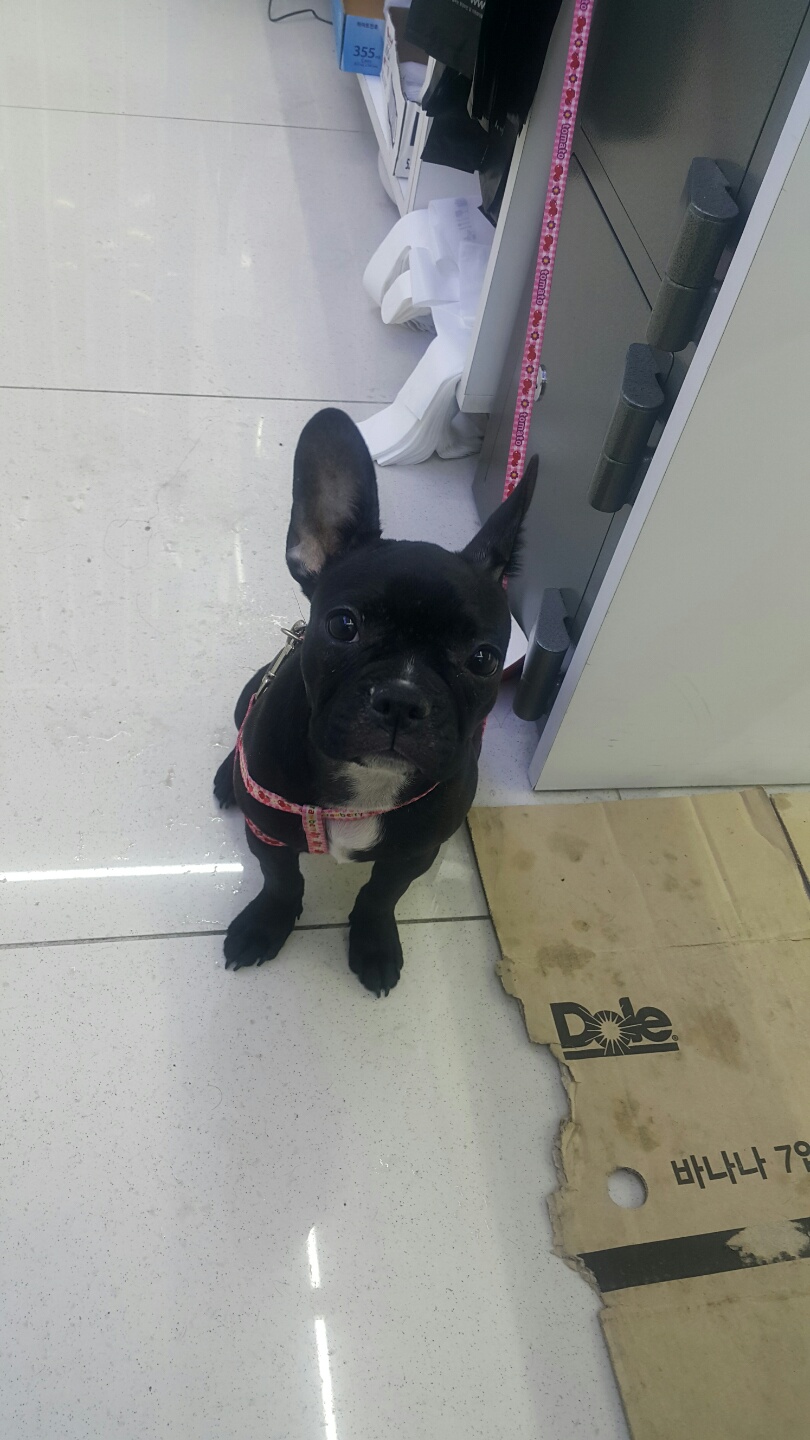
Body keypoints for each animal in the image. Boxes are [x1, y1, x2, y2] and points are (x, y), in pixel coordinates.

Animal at [214, 408, 536, 995]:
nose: (401, 699)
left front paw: (373, 945)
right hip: (248, 692)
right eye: (344, 626)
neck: (366, 784)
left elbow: (379, 896)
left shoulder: (413, 853)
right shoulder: (267, 835)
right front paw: (264, 926)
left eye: (482, 659)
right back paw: (226, 776)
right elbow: (280, 881)